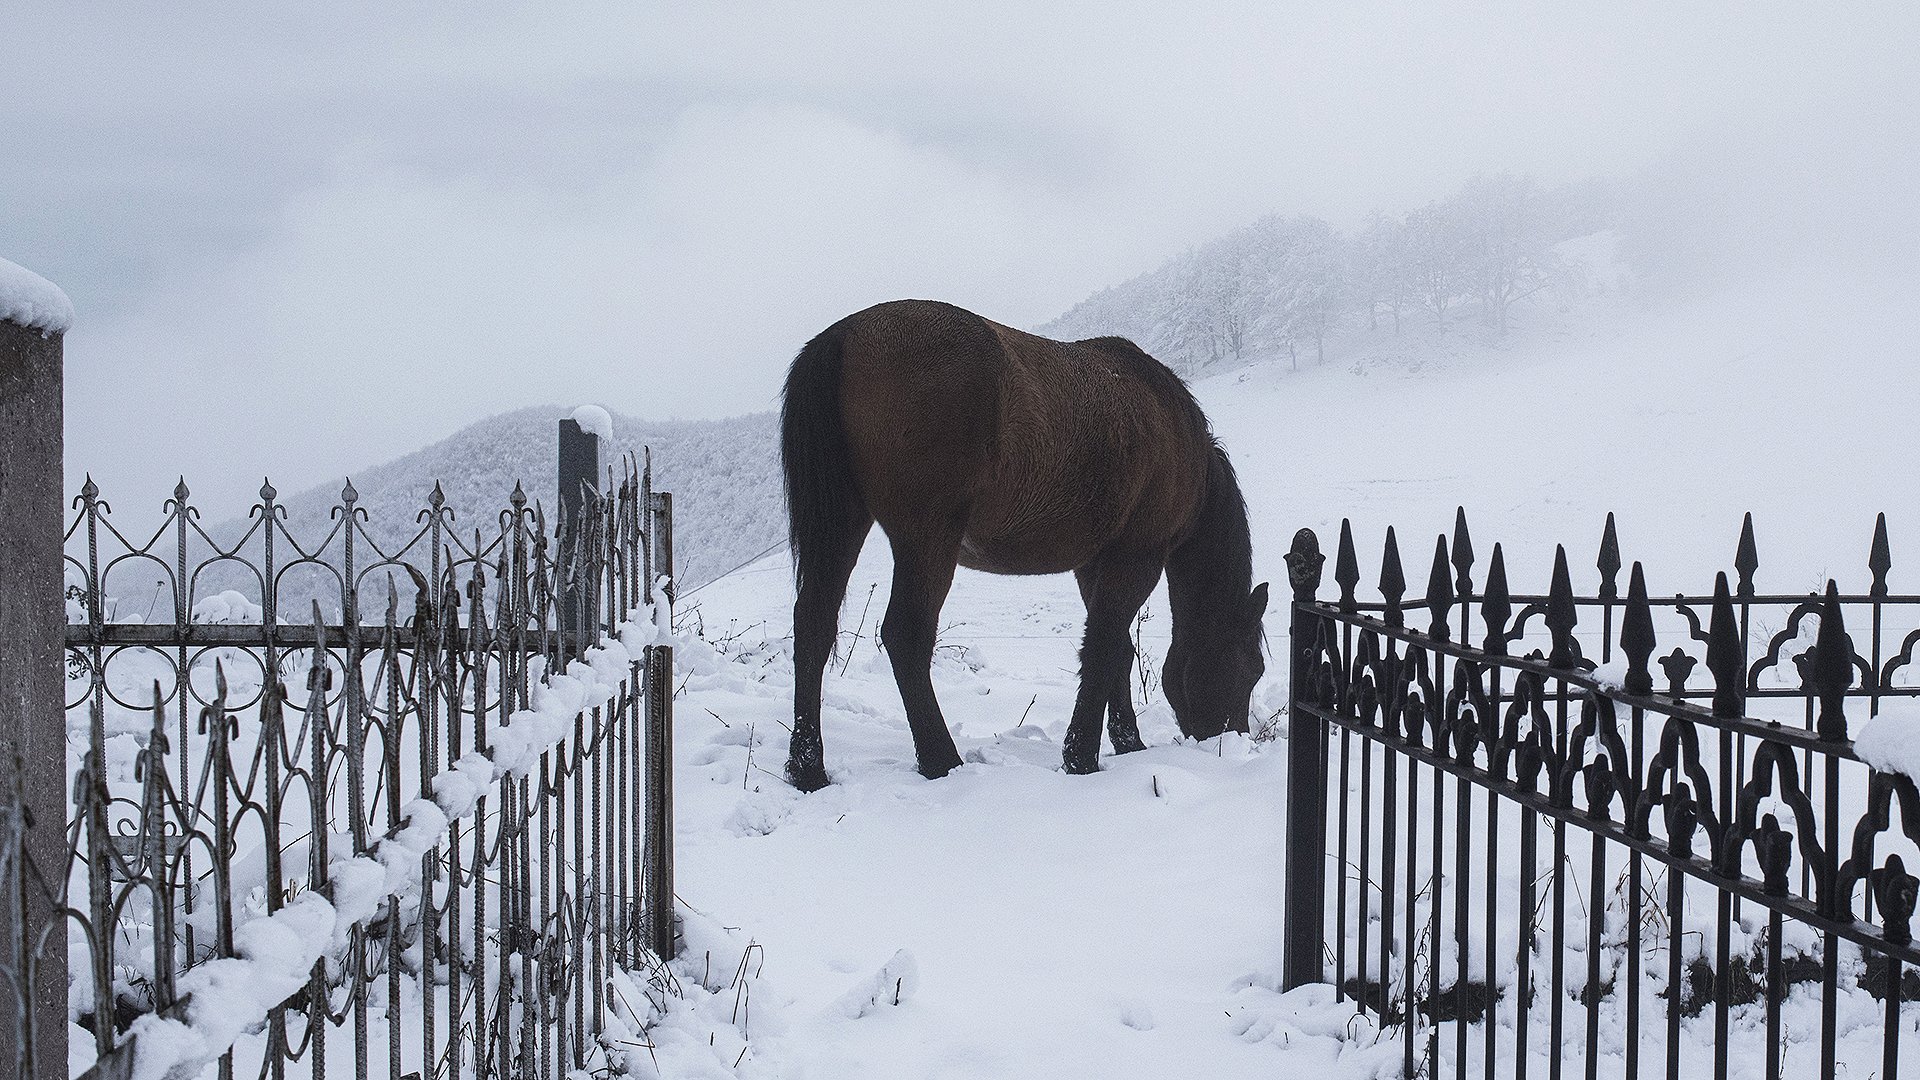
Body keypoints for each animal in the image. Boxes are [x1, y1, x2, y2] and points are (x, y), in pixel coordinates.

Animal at [775, 297, 1259, 787]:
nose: (1234, 737)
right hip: (928, 537)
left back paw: (808, 768)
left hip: (843, 525)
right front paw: (1081, 757)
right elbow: (1105, 646)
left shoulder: (1094, 563)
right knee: (905, 634)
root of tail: (844, 336)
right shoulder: (1138, 555)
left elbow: (1119, 650)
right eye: (1251, 669)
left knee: (813, 625)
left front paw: (1127, 742)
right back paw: (941, 760)